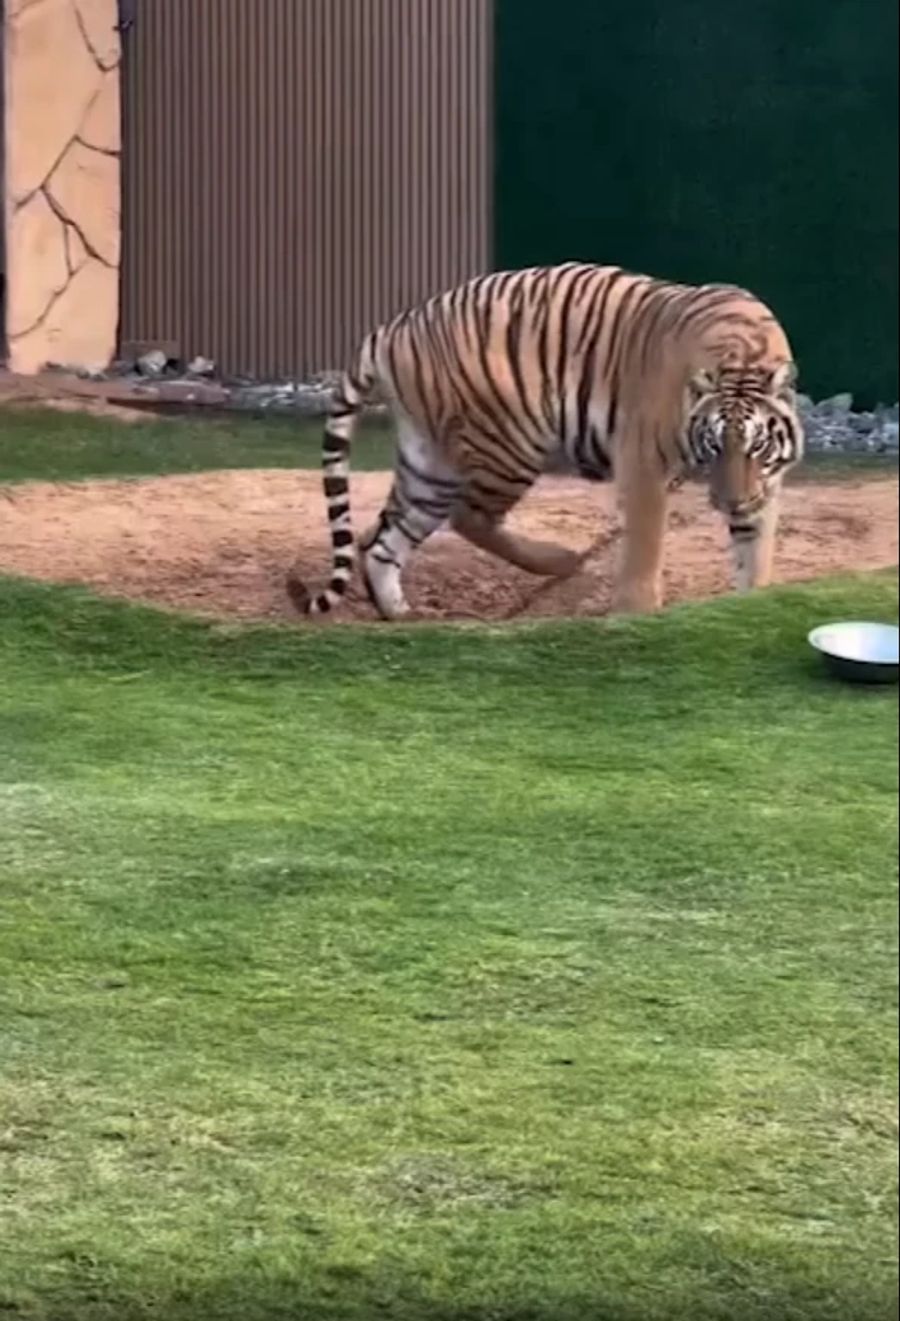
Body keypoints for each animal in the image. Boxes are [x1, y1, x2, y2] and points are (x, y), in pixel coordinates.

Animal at [285, 265, 798, 626]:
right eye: (714, 447)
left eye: (755, 448)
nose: (732, 502)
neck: (744, 355)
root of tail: (392, 329)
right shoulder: (643, 461)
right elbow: (645, 546)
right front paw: (635, 613)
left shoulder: (764, 483)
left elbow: (755, 549)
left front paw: (752, 601)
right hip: (511, 440)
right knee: (468, 517)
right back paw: (560, 559)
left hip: (429, 464)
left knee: (386, 540)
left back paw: (399, 612)